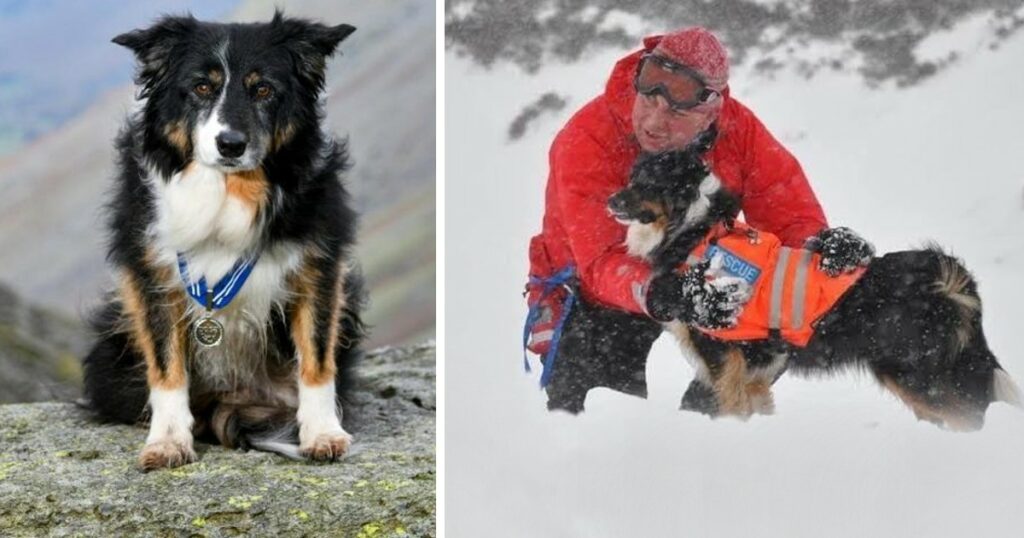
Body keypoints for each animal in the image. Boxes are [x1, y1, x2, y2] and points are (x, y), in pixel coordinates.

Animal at [82, 12, 364, 469]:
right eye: (201, 87)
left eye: (264, 89)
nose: (230, 144)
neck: (228, 191)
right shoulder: (151, 272)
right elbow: (166, 363)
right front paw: (168, 442)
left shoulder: (320, 262)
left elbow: (317, 354)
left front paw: (323, 433)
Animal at [610, 148, 1019, 430]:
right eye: (631, 176)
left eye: (648, 182)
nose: (610, 200)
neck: (696, 232)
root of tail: (948, 276)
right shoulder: (756, 369)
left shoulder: (725, 356)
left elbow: (731, 407)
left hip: (917, 372)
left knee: (966, 417)